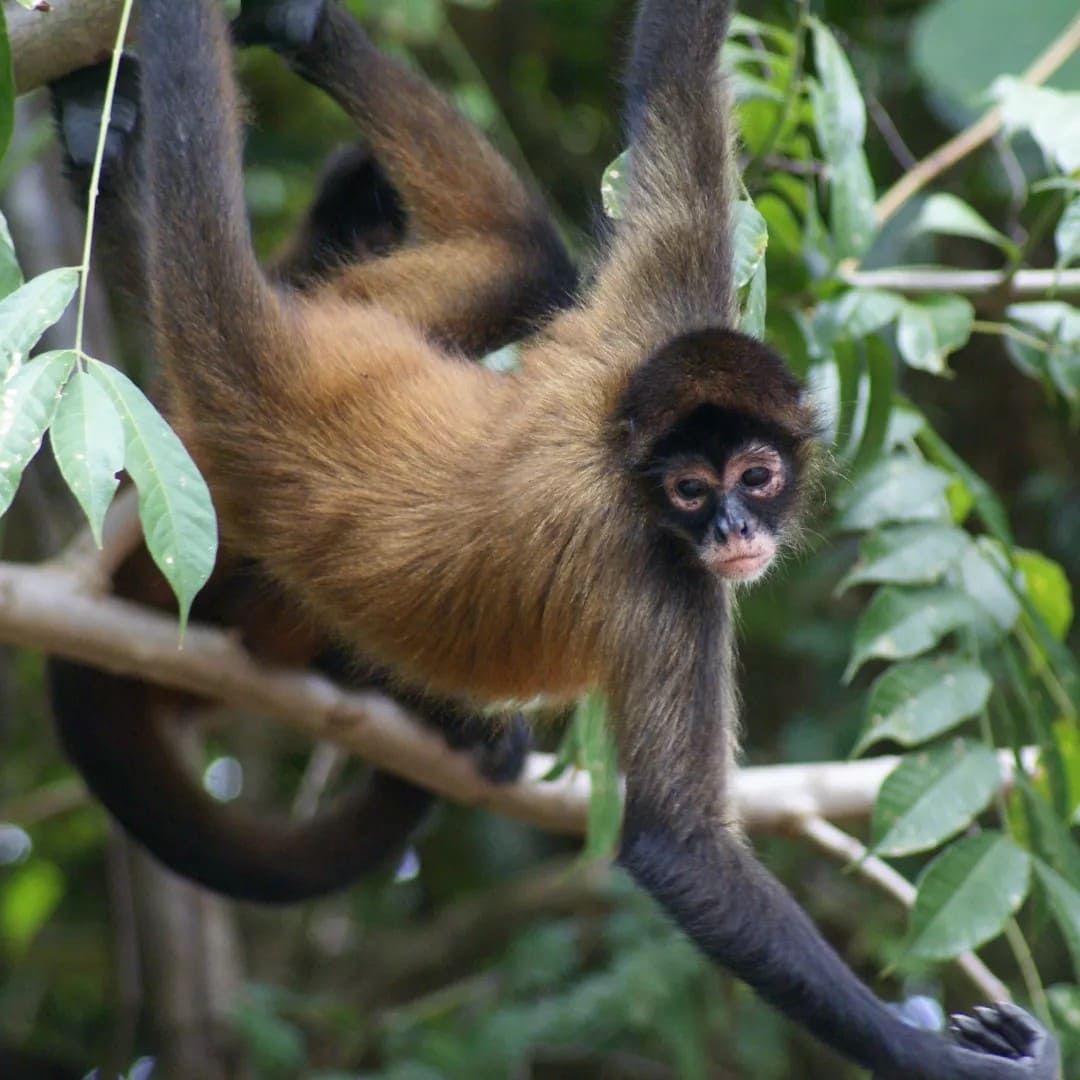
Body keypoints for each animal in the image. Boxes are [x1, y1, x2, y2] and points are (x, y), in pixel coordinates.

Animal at [46, 0, 1060, 1075]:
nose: (735, 525)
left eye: (757, 474)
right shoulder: (663, 582)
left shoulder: (655, 319)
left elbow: (671, 82)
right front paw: (954, 1060)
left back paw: (198, 92)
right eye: (693, 492)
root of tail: (265, 394)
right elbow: (679, 850)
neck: (624, 465)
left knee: (524, 254)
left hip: (356, 333)